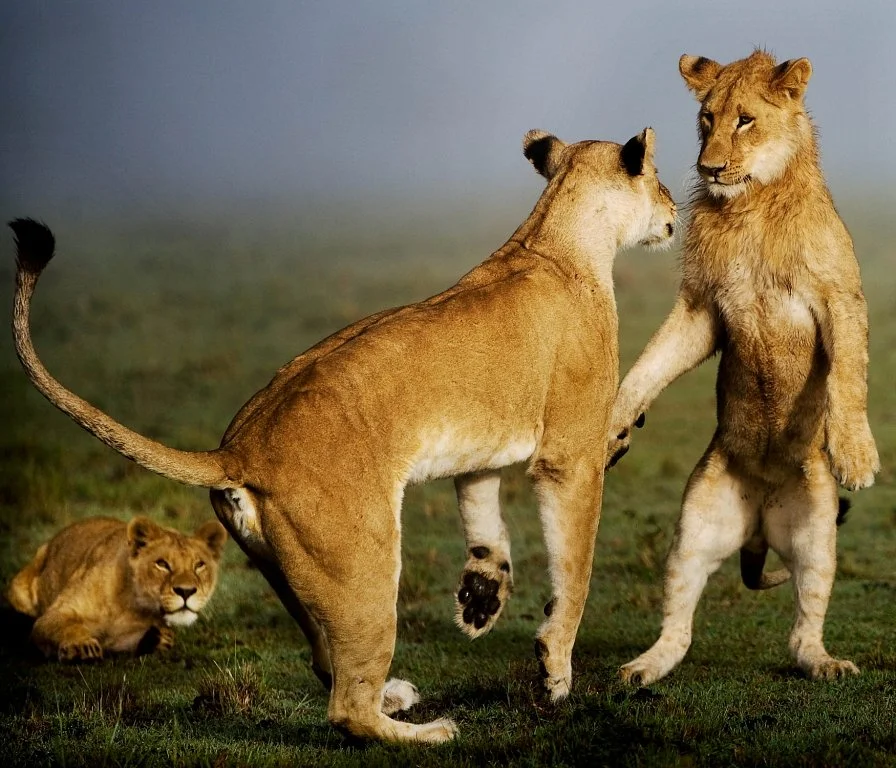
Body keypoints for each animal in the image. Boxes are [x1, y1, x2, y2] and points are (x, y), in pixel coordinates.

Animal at [6, 516, 227, 661]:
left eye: (199, 565)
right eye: (162, 564)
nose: (186, 591)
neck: (131, 605)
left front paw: (156, 639)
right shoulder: (53, 615)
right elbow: (64, 626)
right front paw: (81, 646)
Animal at [607, 50, 880, 686]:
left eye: (746, 120)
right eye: (707, 119)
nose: (709, 168)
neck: (750, 206)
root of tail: (757, 527)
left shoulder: (839, 298)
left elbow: (848, 375)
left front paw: (857, 456)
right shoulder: (703, 307)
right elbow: (651, 360)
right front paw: (615, 417)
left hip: (817, 530)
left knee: (803, 627)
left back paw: (826, 663)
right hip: (694, 526)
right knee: (679, 626)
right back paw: (642, 669)